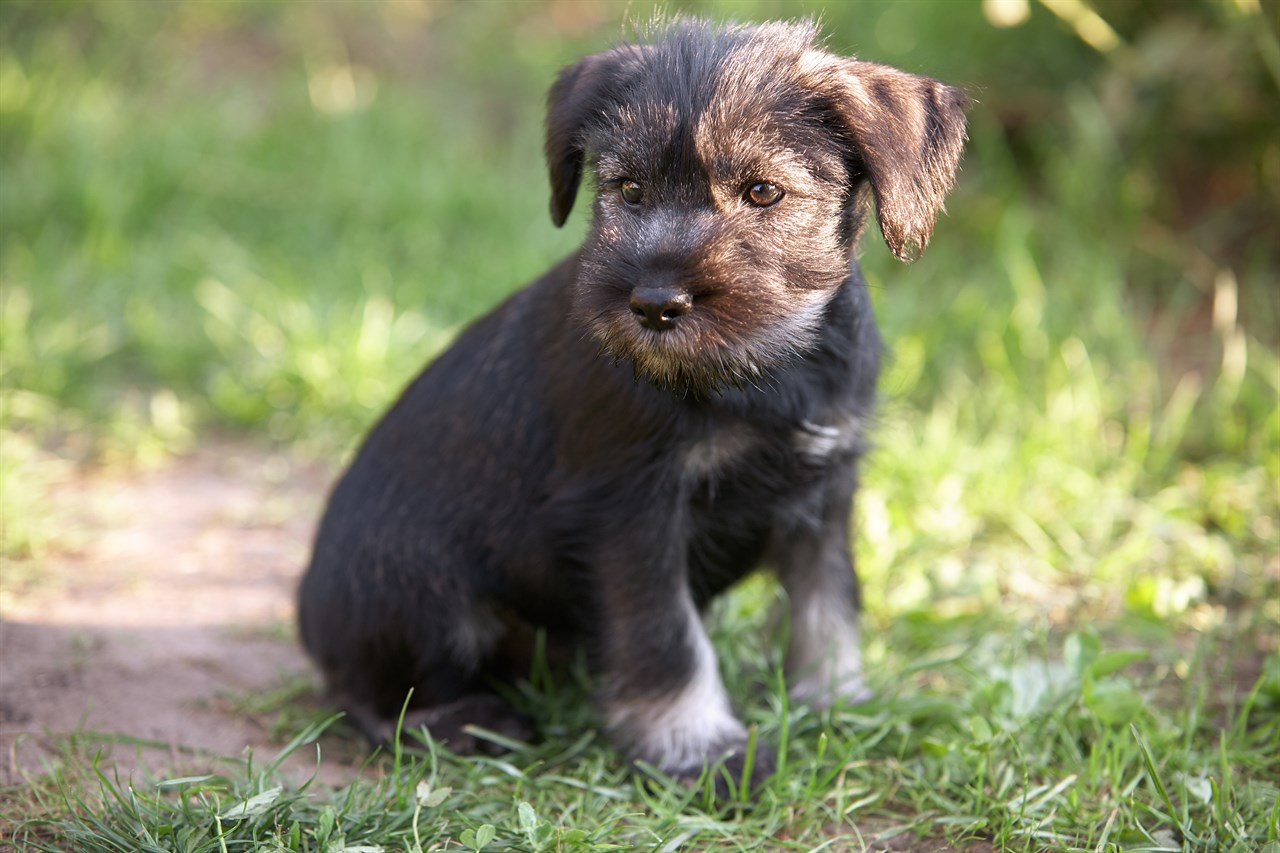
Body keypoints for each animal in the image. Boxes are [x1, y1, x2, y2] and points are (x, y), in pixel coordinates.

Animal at [296, 19, 962, 788]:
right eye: (629, 189)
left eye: (763, 191)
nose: (653, 303)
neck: (765, 368)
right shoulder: (633, 514)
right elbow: (666, 638)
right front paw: (700, 748)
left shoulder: (824, 491)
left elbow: (828, 605)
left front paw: (836, 704)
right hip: (424, 593)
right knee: (364, 697)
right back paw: (466, 724)